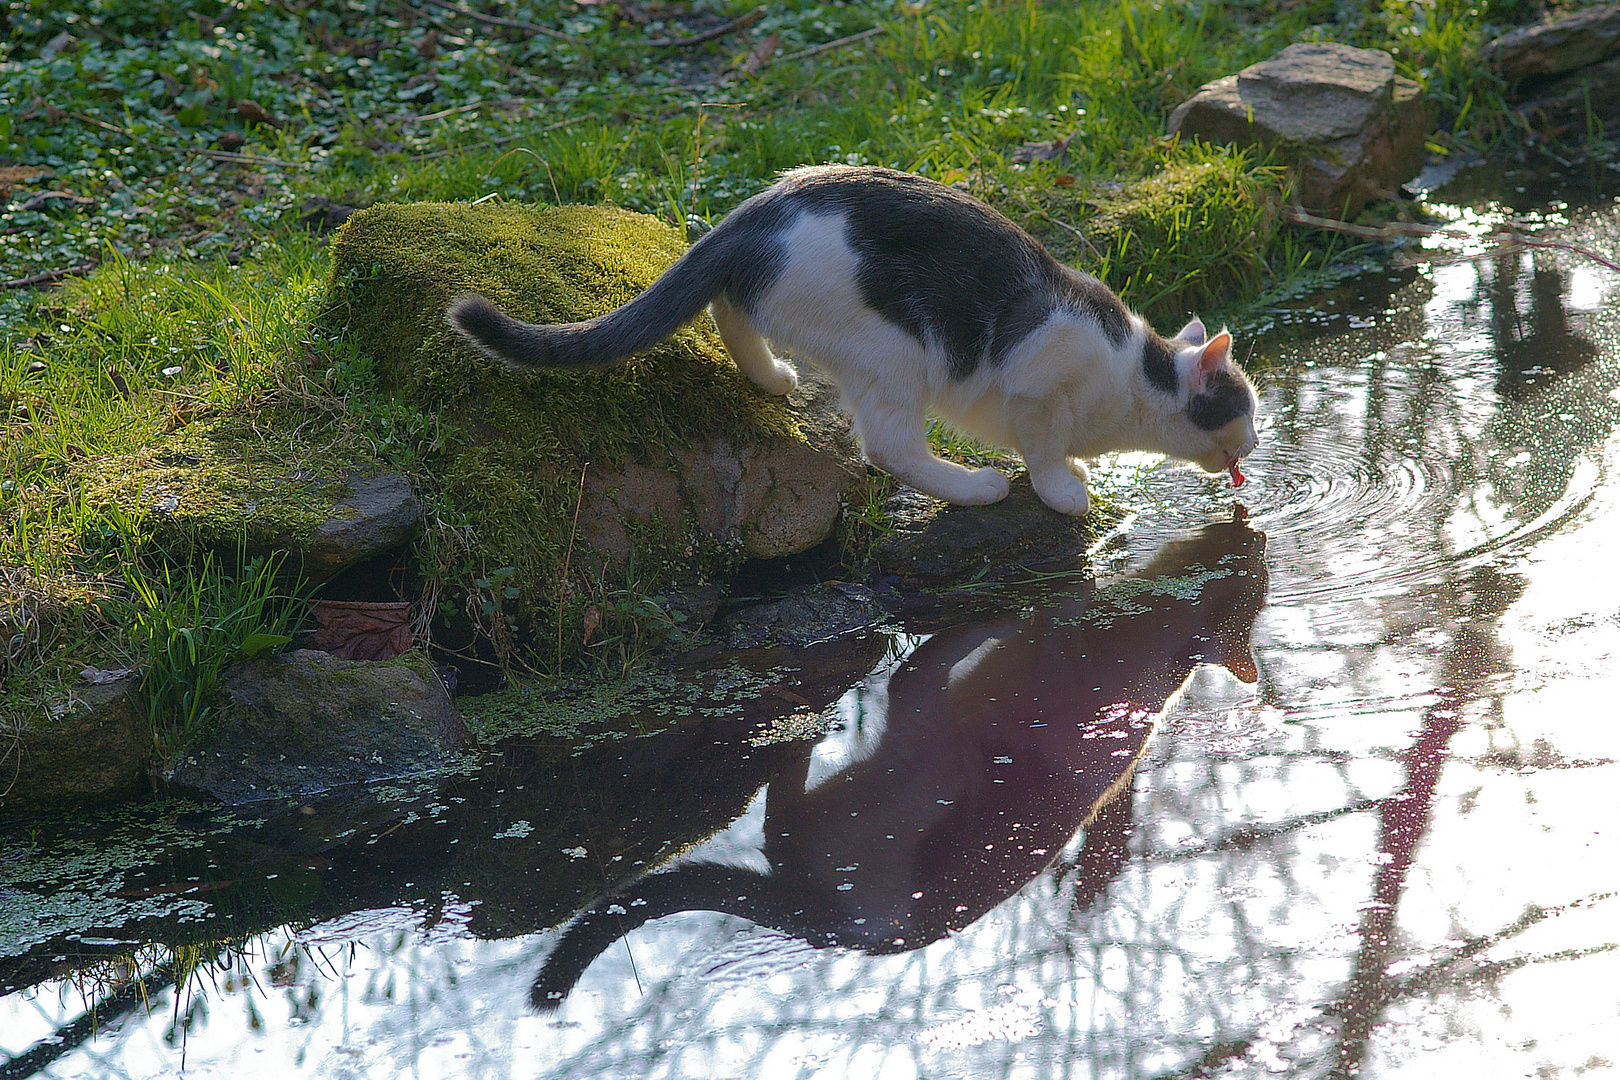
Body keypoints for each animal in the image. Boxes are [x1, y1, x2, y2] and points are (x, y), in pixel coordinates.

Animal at [450, 162, 1257, 518]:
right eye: (1243, 412)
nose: (1254, 444)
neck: (1131, 382)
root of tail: (753, 211)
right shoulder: (1036, 373)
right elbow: (1044, 448)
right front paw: (1062, 491)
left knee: (728, 307)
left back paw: (772, 378)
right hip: (893, 351)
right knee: (890, 448)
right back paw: (973, 486)